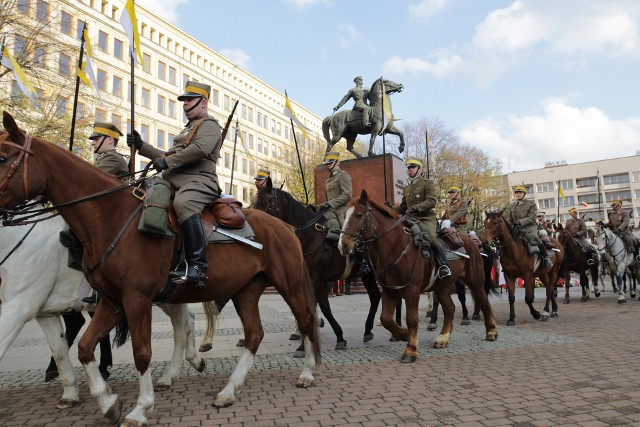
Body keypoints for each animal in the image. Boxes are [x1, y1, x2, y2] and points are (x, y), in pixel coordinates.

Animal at [0, 216, 212, 410]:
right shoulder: (43, 313)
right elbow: (59, 350)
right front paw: (70, 393)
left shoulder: (18, 307)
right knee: (188, 321)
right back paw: (192, 362)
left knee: (181, 328)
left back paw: (172, 374)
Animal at [252, 177, 382, 352]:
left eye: (265, 203)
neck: (309, 238)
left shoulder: (317, 281)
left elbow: (322, 308)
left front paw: (333, 337)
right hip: (368, 275)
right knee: (376, 296)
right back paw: (369, 330)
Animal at [338, 192, 498, 362]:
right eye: (345, 215)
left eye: (358, 215)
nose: (343, 245)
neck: (396, 247)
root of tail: (472, 241)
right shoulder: (390, 290)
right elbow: (386, 318)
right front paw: (403, 334)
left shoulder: (412, 289)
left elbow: (412, 318)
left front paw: (411, 350)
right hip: (442, 286)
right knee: (450, 308)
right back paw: (443, 338)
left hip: (475, 282)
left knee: (484, 302)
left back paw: (491, 332)